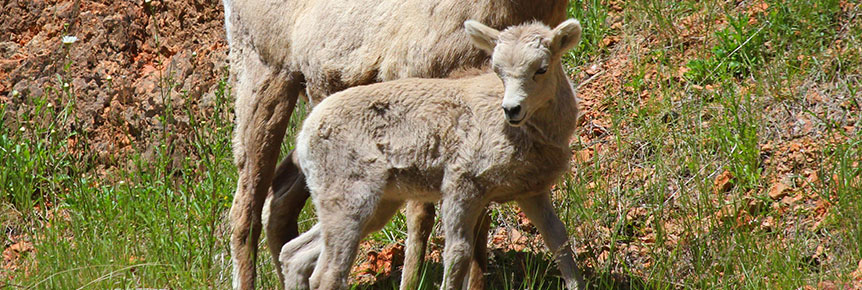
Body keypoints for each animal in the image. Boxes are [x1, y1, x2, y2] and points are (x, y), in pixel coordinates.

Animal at [226, 0, 572, 288]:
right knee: (246, 209)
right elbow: (422, 219)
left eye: (542, 68)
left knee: (280, 204)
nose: (513, 109)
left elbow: (480, 224)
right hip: (265, 77)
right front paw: (411, 282)